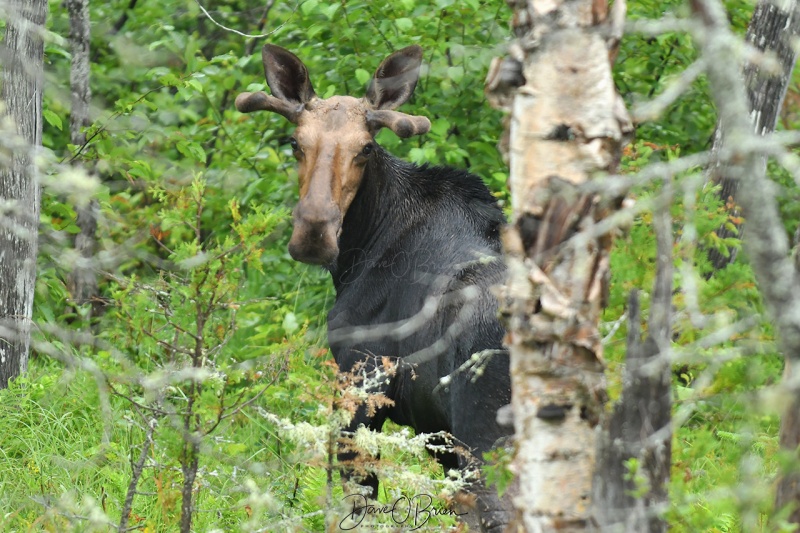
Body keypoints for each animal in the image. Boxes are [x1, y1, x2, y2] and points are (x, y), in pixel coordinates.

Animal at [234, 44, 516, 528]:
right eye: (295, 143)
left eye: (365, 147)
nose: (314, 233)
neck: (362, 248)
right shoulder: (435, 430)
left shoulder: (360, 383)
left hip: (487, 438)